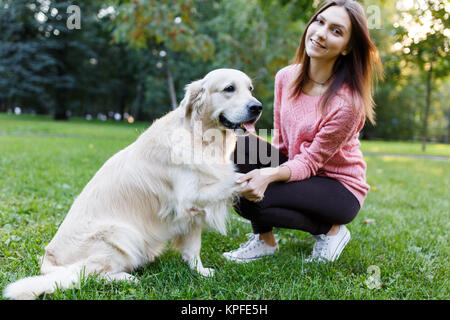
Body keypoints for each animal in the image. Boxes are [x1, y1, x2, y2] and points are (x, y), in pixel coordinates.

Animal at [3, 68, 262, 300]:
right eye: (229, 88)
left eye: (250, 88)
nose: (257, 107)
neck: (201, 138)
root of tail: (48, 260)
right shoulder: (188, 197)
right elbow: (231, 180)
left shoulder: (191, 213)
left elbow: (192, 247)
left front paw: (199, 271)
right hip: (122, 233)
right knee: (89, 275)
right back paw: (126, 278)